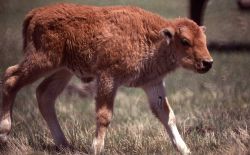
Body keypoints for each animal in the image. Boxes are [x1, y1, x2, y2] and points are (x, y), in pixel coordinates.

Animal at [0, 3, 213, 154]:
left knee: (45, 94)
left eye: (204, 40)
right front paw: (96, 148)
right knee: (11, 78)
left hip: (63, 71)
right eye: (185, 41)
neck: (156, 38)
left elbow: (167, 115)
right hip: (42, 61)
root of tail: (35, 13)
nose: (208, 62)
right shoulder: (108, 78)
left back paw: (64, 144)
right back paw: (4, 133)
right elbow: (104, 115)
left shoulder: (153, 83)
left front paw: (185, 149)